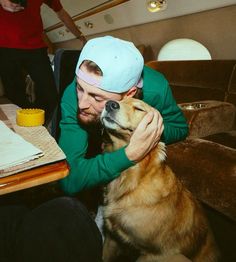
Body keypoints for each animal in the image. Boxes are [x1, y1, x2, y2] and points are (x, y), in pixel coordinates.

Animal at [100, 97, 218, 262]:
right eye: (120, 100)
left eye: (139, 108)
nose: (109, 104)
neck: (135, 179)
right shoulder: (111, 237)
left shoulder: (154, 254)